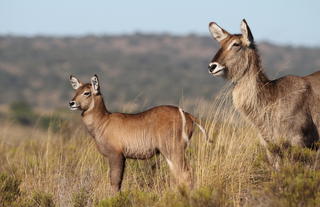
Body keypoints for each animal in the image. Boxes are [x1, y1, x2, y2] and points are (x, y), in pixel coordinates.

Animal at [69, 74, 206, 192]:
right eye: (76, 91)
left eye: (86, 92)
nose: (71, 103)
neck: (103, 121)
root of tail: (187, 114)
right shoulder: (123, 157)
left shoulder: (116, 155)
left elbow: (115, 182)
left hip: (173, 150)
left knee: (185, 174)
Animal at [208, 19, 320, 167]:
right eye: (221, 44)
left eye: (236, 44)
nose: (212, 66)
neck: (273, 96)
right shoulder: (271, 148)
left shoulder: (299, 143)